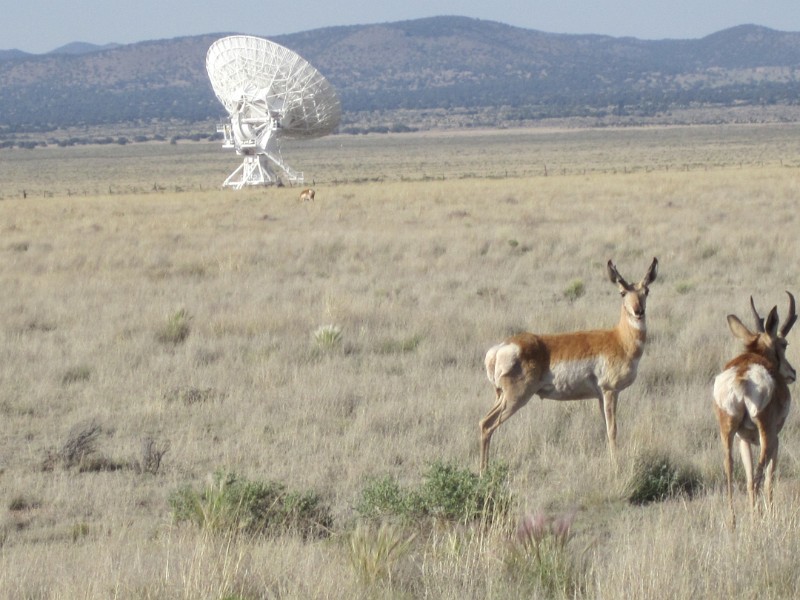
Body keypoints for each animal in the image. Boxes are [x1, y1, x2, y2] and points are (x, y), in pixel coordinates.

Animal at [482, 255, 656, 472]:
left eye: (646, 291)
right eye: (622, 292)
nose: (639, 311)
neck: (619, 338)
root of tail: (500, 348)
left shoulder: (600, 396)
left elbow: (606, 428)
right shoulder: (610, 391)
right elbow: (612, 430)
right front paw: (615, 466)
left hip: (502, 397)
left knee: (485, 424)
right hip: (516, 398)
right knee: (487, 424)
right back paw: (483, 473)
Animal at [712, 292, 792, 524]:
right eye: (784, 343)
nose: (793, 373)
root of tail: (743, 377)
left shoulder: (744, 439)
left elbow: (747, 478)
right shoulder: (776, 440)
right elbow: (769, 478)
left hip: (727, 432)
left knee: (730, 468)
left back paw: (733, 520)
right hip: (767, 435)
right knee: (760, 473)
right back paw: (758, 520)